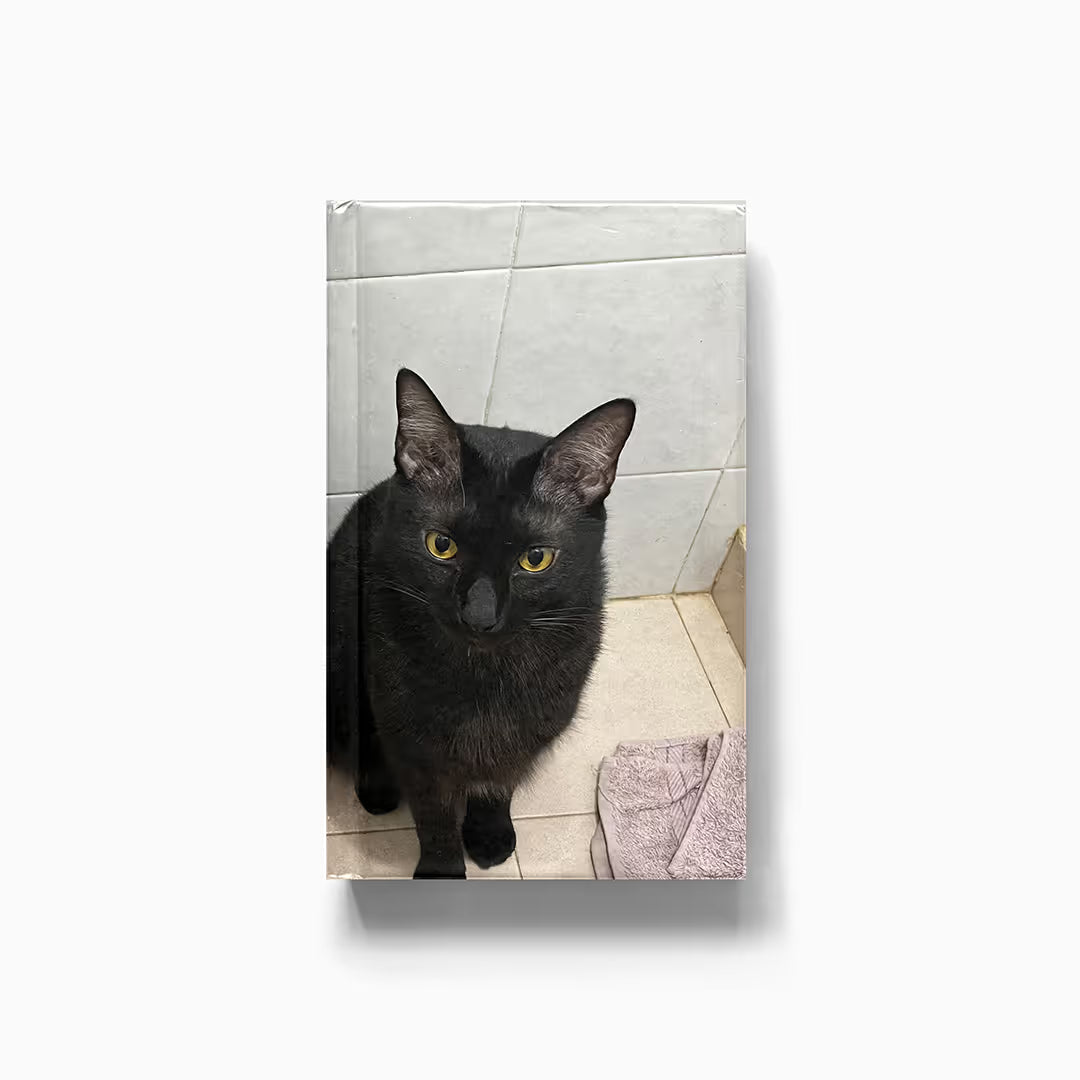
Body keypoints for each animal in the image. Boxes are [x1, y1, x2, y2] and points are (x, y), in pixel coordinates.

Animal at [327, 369, 635, 878]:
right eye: (440, 545)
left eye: (535, 558)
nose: (479, 615)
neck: (486, 676)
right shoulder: (414, 746)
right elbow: (433, 818)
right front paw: (443, 869)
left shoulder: (525, 734)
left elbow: (496, 785)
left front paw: (489, 835)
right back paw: (377, 791)